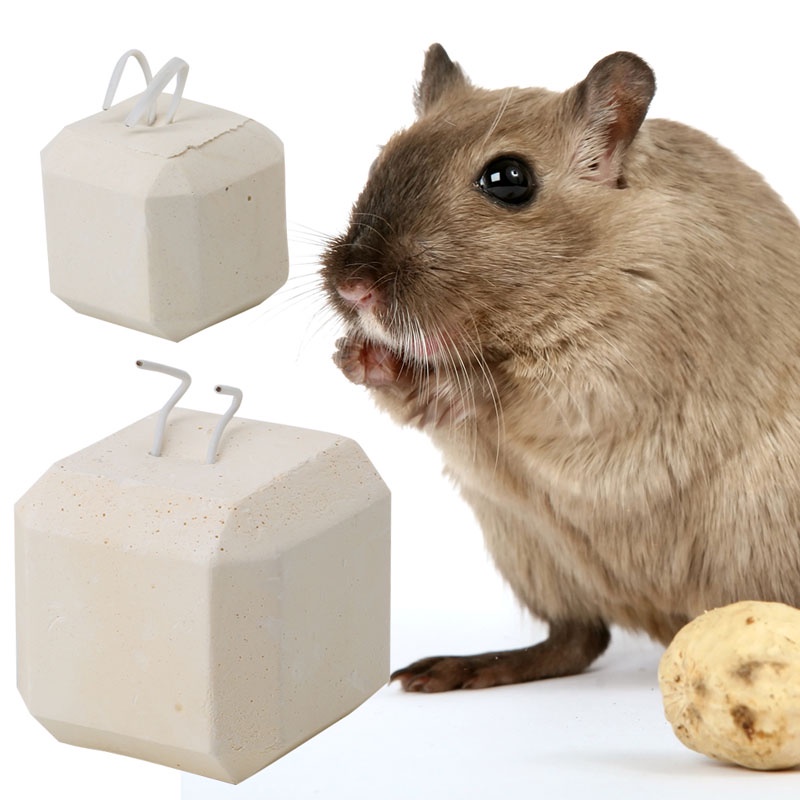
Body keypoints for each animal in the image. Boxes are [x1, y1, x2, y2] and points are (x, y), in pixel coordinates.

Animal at [321, 44, 800, 692]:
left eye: (509, 179)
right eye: (383, 156)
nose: (354, 287)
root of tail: (666, 620)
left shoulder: (623, 365)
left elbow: (523, 394)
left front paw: (450, 383)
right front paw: (357, 356)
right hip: (534, 555)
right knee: (577, 640)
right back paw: (447, 672)